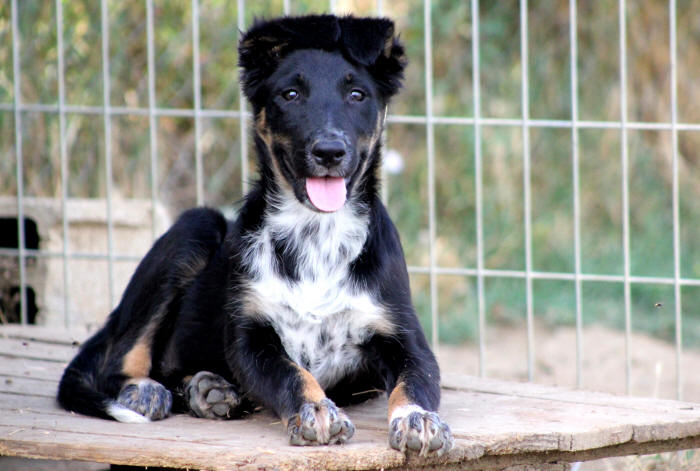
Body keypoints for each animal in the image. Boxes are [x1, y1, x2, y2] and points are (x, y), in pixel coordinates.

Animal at [58, 14, 454, 458]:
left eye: (357, 95)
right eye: (290, 94)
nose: (329, 151)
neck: (316, 234)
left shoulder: (406, 338)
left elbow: (414, 382)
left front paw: (417, 418)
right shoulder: (250, 339)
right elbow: (291, 373)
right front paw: (317, 411)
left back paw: (207, 389)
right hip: (195, 228)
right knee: (124, 359)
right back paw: (146, 389)